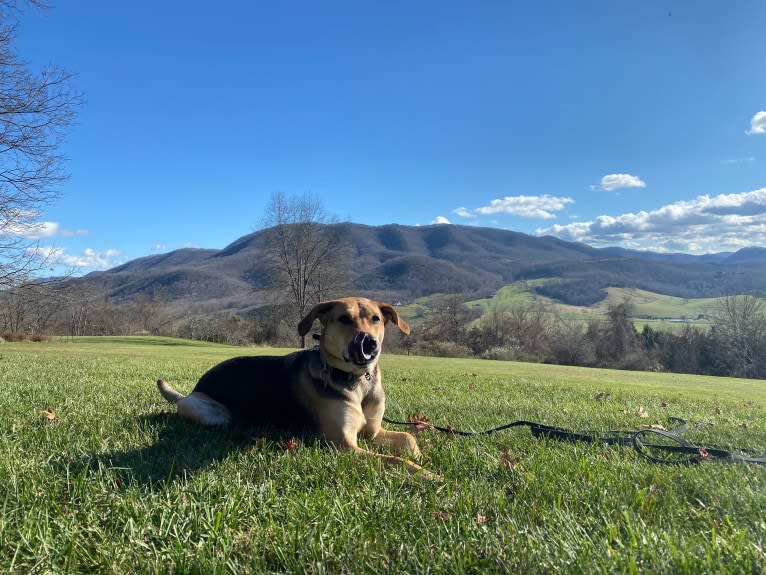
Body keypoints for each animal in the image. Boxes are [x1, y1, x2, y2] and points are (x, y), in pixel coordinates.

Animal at [158, 296, 432, 476]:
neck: (355, 382)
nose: (370, 344)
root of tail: (188, 393)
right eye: (344, 319)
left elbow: (408, 437)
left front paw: (423, 458)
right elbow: (396, 460)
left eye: (376, 319)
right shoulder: (344, 446)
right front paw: (428, 475)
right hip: (215, 414)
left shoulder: (372, 434)